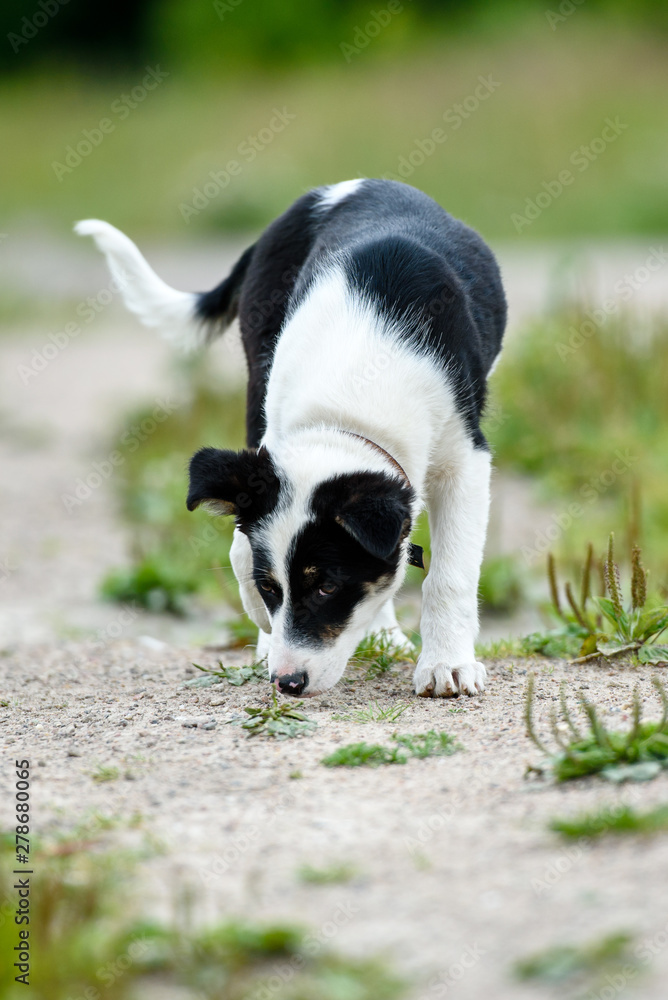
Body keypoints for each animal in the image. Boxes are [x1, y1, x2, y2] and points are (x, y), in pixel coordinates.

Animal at [77, 178, 506, 696]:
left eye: (327, 586)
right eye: (271, 588)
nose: (287, 683)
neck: (351, 395)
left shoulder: (465, 460)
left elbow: (449, 573)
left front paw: (447, 665)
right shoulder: (268, 448)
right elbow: (242, 549)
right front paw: (266, 632)